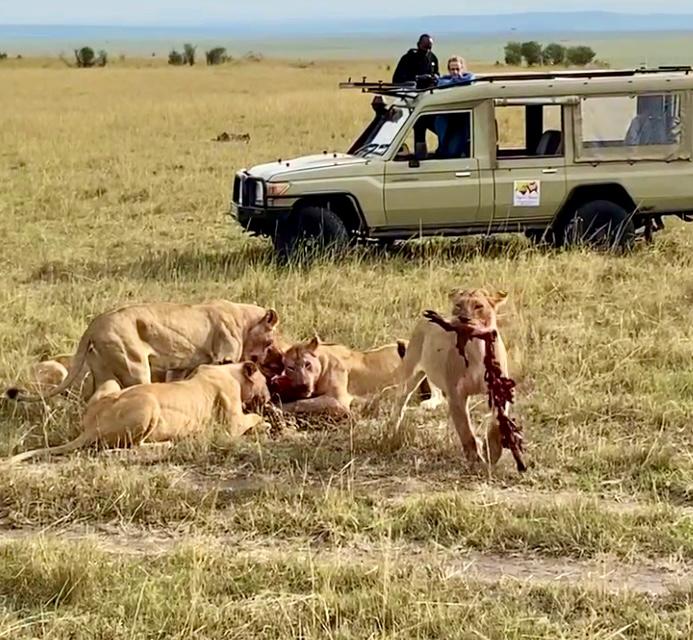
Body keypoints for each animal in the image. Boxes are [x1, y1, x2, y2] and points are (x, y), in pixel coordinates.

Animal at [7, 298, 278, 400]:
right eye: (270, 342)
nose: (268, 358)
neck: (243, 319)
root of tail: (95, 323)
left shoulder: (178, 367)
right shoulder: (224, 357)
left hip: (101, 370)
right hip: (135, 366)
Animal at [10, 362, 274, 462]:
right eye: (265, 381)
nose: (270, 397)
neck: (230, 371)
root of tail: (91, 426)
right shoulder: (231, 425)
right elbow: (252, 418)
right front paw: (265, 423)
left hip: (111, 384)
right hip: (148, 403)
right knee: (123, 448)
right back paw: (167, 444)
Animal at [390, 288, 508, 464]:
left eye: (478, 306)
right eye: (458, 305)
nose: (464, 318)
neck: (477, 348)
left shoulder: (498, 390)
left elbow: (496, 425)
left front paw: (492, 452)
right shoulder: (456, 394)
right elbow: (465, 431)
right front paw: (476, 460)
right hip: (410, 374)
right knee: (399, 403)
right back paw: (391, 432)